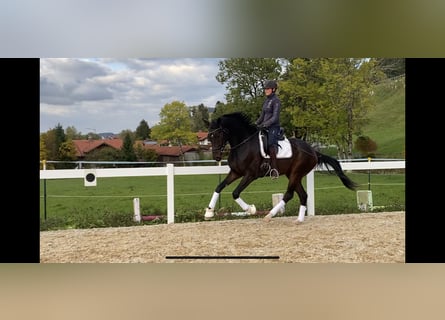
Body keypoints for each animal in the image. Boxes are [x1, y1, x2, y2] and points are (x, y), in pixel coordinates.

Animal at [203, 112, 360, 222]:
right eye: (210, 137)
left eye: (218, 134)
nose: (216, 157)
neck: (243, 144)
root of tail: (313, 151)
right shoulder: (235, 172)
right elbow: (219, 187)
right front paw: (209, 212)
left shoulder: (250, 175)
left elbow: (235, 193)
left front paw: (251, 209)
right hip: (293, 175)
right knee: (303, 195)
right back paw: (299, 220)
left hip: (296, 173)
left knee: (289, 194)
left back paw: (269, 215)